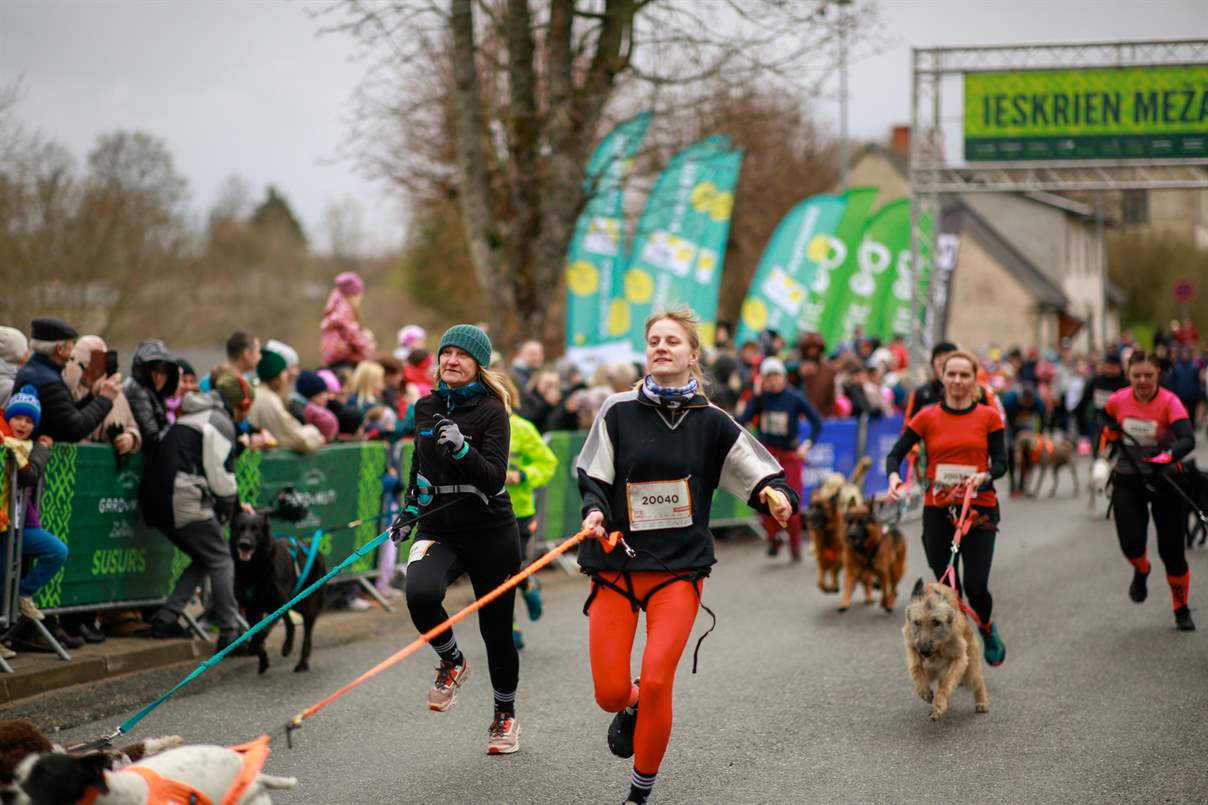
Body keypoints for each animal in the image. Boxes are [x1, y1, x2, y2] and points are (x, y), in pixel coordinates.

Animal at [230, 508, 326, 674]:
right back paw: (287, 646)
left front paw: (253, 647)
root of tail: (317, 551)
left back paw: (302, 662)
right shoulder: (251, 609)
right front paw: (263, 660)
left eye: (255, 529)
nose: (244, 544)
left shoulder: (276, 606)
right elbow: (258, 632)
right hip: (291, 602)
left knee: (307, 635)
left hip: (306, 604)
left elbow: (261, 632)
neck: (253, 570)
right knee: (291, 624)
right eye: (239, 528)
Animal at [902, 579, 989, 721]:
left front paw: (938, 706)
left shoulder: (959, 658)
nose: (924, 651)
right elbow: (916, 667)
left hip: (970, 670)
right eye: (917, 622)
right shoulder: (912, 645)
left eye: (936, 622)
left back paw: (982, 702)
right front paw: (923, 690)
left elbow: (947, 683)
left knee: (978, 681)